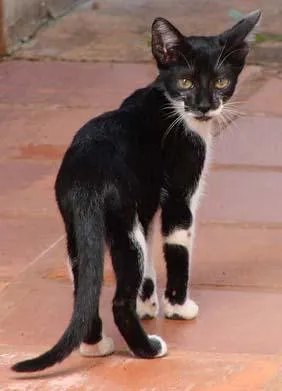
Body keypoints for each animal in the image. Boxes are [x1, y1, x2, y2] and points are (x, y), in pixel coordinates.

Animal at [12, 9, 262, 374]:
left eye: (221, 82)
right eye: (186, 83)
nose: (203, 106)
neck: (168, 102)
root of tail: (86, 175)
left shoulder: (144, 202)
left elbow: (149, 259)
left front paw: (148, 306)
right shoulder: (179, 195)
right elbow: (177, 248)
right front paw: (177, 308)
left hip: (78, 228)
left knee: (85, 284)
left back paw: (96, 346)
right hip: (121, 225)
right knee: (118, 299)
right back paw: (148, 348)